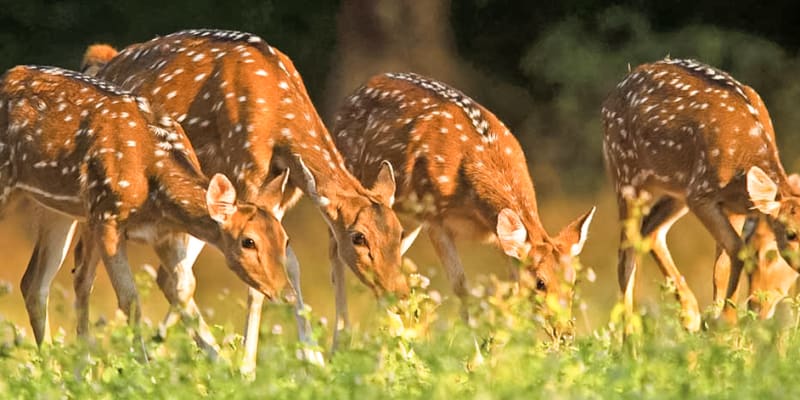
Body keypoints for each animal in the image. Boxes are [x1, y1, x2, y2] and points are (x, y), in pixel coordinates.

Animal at [1, 65, 290, 344]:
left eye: (285, 240)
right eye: (248, 242)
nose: (285, 291)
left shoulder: (164, 233)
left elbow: (184, 287)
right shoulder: (107, 216)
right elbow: (130, 300)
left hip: (58, 208)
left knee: (33, 284)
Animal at [73, 28, 406, 368]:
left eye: (399, 231)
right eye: (358, 237)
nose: (399, 292)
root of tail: (104, 60)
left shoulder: (283, 192)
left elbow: (290, 264)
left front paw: (314, 359)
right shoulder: (245, 173)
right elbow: (255, 284)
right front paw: (248, 366)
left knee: (170, 278)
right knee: (99, 272)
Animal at [330, 72, 592, 334]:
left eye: (573, 282)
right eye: (540, 283)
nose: (565, 331)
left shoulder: (497, 238)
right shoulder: (434, 219)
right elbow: (460, 286)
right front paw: (473, 341)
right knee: (336, 257)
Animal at [604, 57, 800, 332]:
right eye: (790, 234)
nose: (757, 307)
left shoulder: (736, 205)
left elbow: (723, 264)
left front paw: (717, 320)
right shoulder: (701, 194)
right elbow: (737, 249)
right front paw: (726, 323)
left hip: (675, 190)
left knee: (650, 232)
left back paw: (690, 314)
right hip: (626, 174)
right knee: (626, 255)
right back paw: (630, 338)